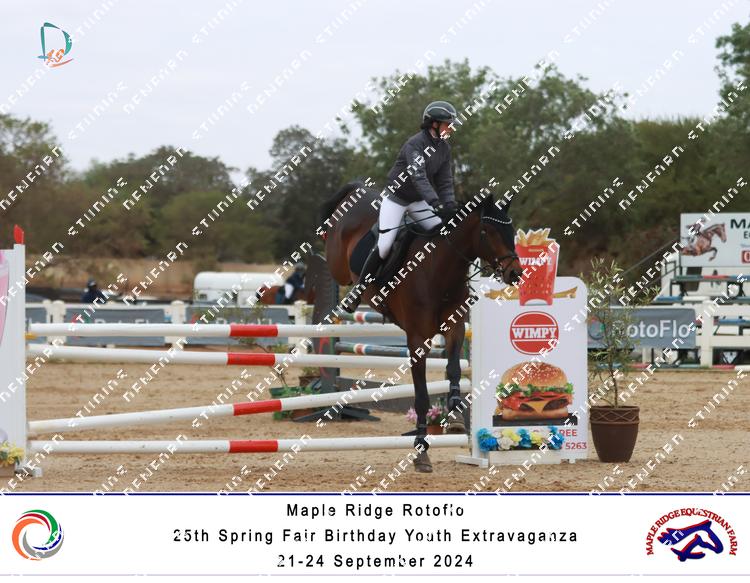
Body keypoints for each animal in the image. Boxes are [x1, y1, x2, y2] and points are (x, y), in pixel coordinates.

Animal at [320, 181, 523, 472]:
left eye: (511, 231)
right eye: (488, 232)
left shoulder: (454, 329)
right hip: (337, 260)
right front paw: (421, 451)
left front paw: (455, 415)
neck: (438, 270)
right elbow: (422, 397)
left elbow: (453, 369)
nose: (514, 273)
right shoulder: (417, 340)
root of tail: (357, 191)